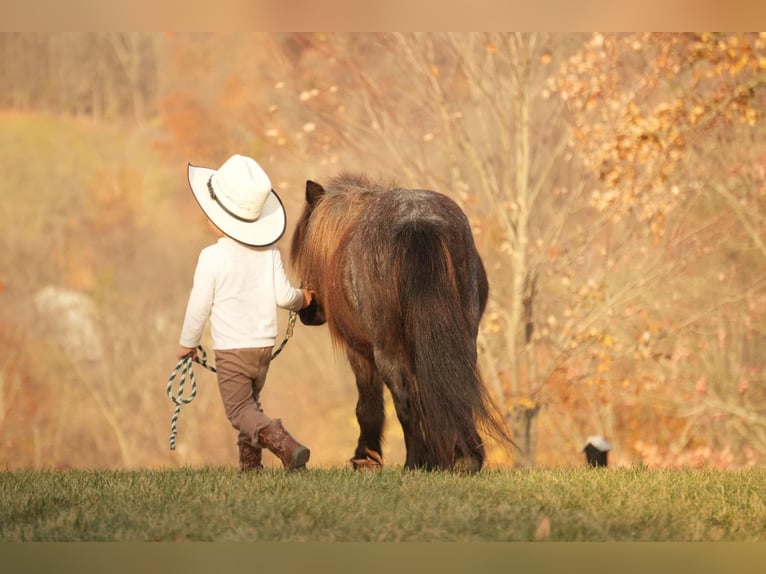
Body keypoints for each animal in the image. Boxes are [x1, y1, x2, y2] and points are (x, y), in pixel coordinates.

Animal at [292, 172, 512, 472]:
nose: (307, 310)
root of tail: (418, 221)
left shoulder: (359, 352)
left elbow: (368, 407)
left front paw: (366, 459)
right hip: (463, 338)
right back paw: (464, 459)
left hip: (388, 349)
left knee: (404, 400)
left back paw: (416, 462)